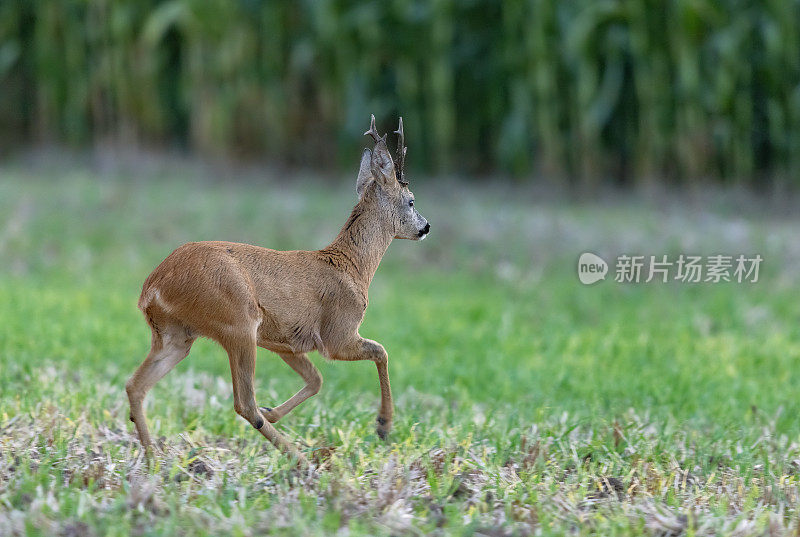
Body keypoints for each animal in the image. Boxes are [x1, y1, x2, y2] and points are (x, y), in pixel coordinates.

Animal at [126, 115, 424, 462]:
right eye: (411, 201)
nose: (425, 227)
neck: (351, 268)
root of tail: (153, 286)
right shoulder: (337, 334)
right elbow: (381, 351)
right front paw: (384, 425)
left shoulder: (287, 341)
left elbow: (316, 379)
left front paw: (275, 412)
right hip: (236, 322)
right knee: (243, 403)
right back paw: (299, 458)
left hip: (176, 335)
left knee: (135, 385)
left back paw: (152, 458)